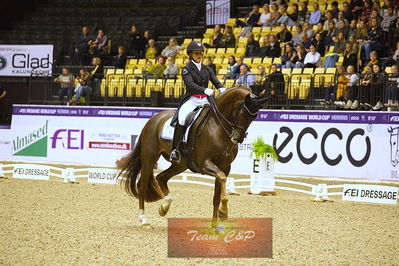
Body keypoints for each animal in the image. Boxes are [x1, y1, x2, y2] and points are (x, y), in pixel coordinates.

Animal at [119, 86, 268, 228]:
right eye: (243, 113)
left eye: (254, 117)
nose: (237, 138)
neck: (218, 126)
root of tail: (154, 119)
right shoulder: (205, 163)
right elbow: (222, 179)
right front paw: (223, 212)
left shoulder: (225, 166)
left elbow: (217, 194)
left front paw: (215, 224)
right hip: (149, 157)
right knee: (142, 185)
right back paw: (144, 220)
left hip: (180, 164)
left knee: (161, 177)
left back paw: (164, 208)